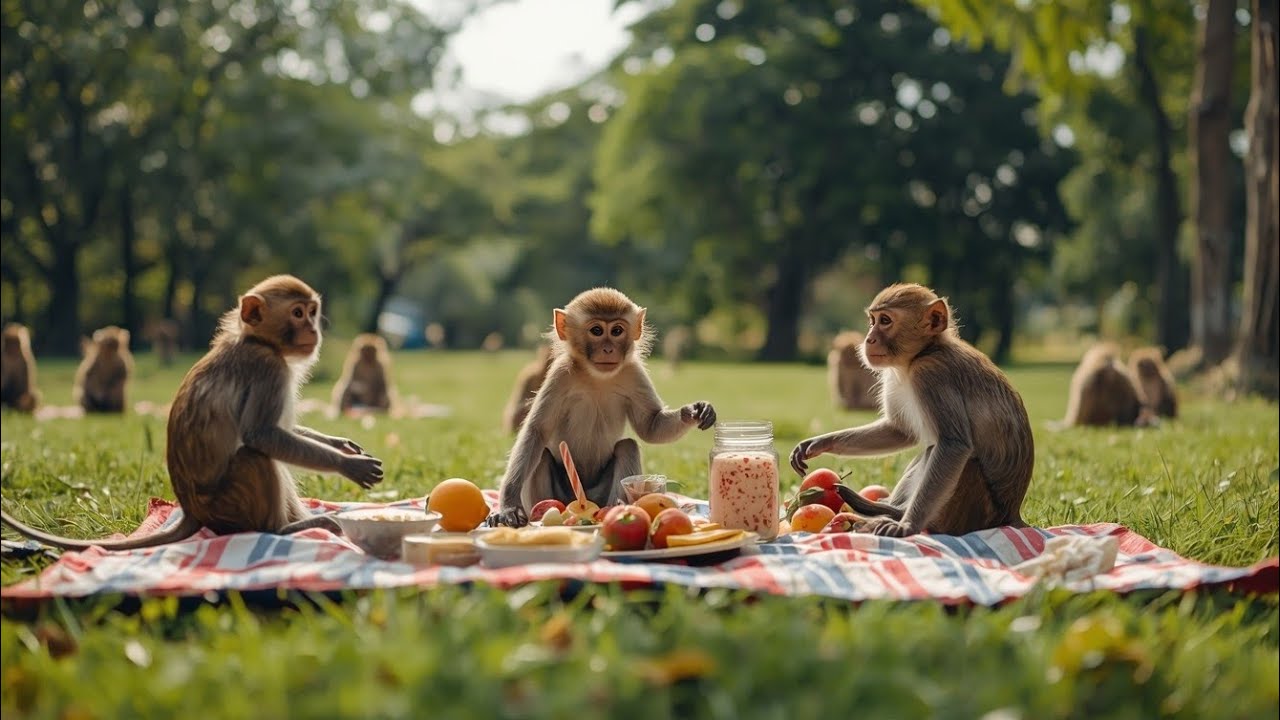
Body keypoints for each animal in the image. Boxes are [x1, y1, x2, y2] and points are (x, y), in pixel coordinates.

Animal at [0, 275, 384, 550]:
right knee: (254, 456)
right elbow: (262, 434)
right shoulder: (268, 369)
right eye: (297, 313)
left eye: (312, 311)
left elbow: (278, 431)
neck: (257, 341)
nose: (313, 330)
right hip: (226, 504)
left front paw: (341, 445)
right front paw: (347, 463)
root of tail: (191, 511)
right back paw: (285, 528)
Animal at [495, 288, 717, 525]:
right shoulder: (559, 374)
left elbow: (650, 427)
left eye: (617, 330)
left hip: (600, 492)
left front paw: (693, 412)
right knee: (543, 454)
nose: (608, 349)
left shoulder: (633, 372)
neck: (597, 378)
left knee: (627, 446)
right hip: (564, 493)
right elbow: (536, 432)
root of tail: (587, 498)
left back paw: (616, 506)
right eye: (597, 330)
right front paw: (508, 505)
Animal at [789, 283, 1034, 537]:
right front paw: (820, 442)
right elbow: (900, 432)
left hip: (971, 514)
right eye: (873, 320)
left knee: (960, 459)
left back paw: (891, 515)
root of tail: (1011, 515)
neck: (924, 352)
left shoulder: (929, 373)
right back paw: (882, 510)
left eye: (885, 320)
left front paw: (907, 526)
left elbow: (953, 445)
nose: (869, 339)